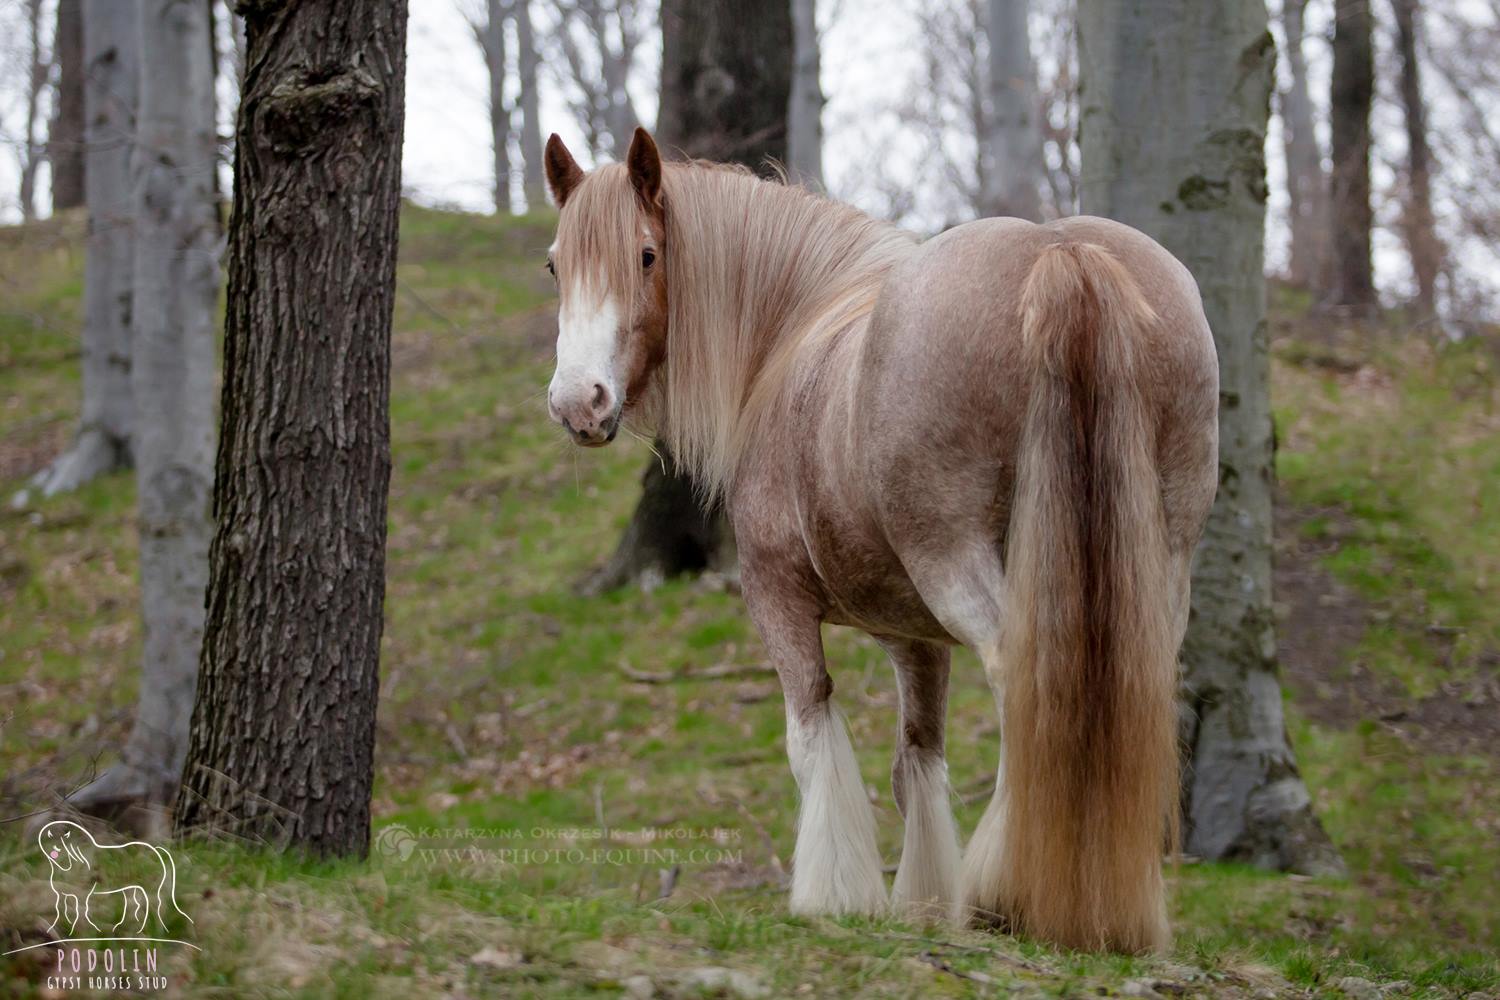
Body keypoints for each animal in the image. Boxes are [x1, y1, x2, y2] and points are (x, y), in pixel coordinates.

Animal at [540, 128, 1218, 953]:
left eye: (644, 254)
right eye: (555, 264)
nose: (579, 404)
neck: (798, 326)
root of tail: (1062, 254)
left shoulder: (777, 596)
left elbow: (814, 741)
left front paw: (835, 897)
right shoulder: (915, 638)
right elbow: (916, 762)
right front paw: (923, 899)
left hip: (958, 565)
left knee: (1021, 680)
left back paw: (1010, 890)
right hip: (1156, 568)